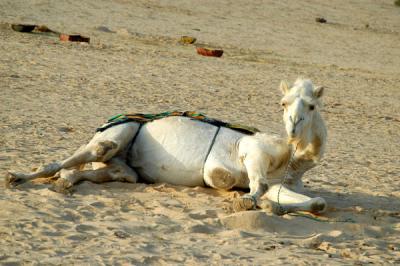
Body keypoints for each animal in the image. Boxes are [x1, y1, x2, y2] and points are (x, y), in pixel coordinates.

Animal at [5, 78, 328, 214]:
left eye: (312, 105)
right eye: (283, 103)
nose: (294, 125)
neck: (289, 157)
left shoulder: (278, 181)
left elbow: (310, 201)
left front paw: (276, 206)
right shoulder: (249, 152)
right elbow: (253, 185)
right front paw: (248, 202)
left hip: (124, 169)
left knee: (107, 172)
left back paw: (66, 183)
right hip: (116, 133)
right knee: (82, 155)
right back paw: (16, 177)